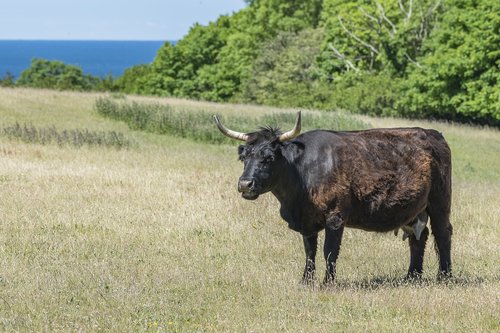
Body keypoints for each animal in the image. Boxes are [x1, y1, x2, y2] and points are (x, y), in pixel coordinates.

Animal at [213, 113, 452, 284]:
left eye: (269, 158)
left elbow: (329, 251)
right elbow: (310, 251)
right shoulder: (307, 222)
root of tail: (433, 133)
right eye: (244, 157)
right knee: (419, 237)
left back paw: (445, 276)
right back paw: (412, 276)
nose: (245, 184)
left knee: (443, 233)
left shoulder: (336, 217)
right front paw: (306, 281)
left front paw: (328, 282)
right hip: (413, 209)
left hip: (440, 201)